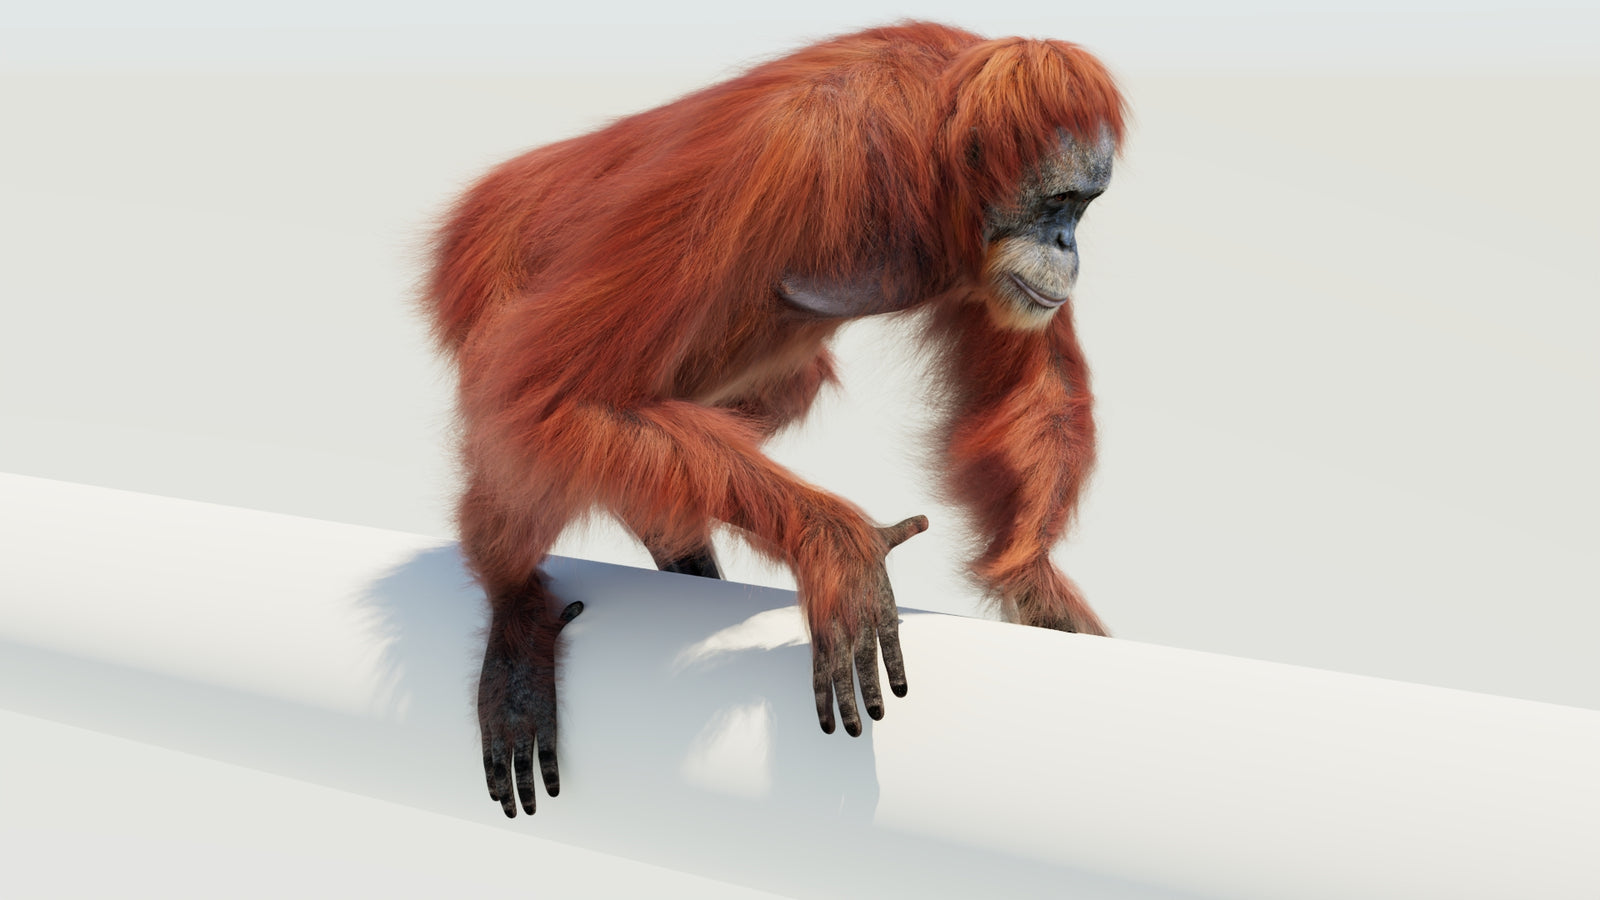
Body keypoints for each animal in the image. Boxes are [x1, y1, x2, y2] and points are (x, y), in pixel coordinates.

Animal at [423, 21, 1124, 817]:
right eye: (1056, 203)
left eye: (1084, 206)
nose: (1068, 246)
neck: (928, 147)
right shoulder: (788, 153)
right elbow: (548, 390)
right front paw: (839, 548)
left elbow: (1035, 379)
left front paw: (1033, 583)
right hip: (487, 270)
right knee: (525, 412)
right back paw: (513, 607)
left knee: (785, 385)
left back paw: (667, 535)